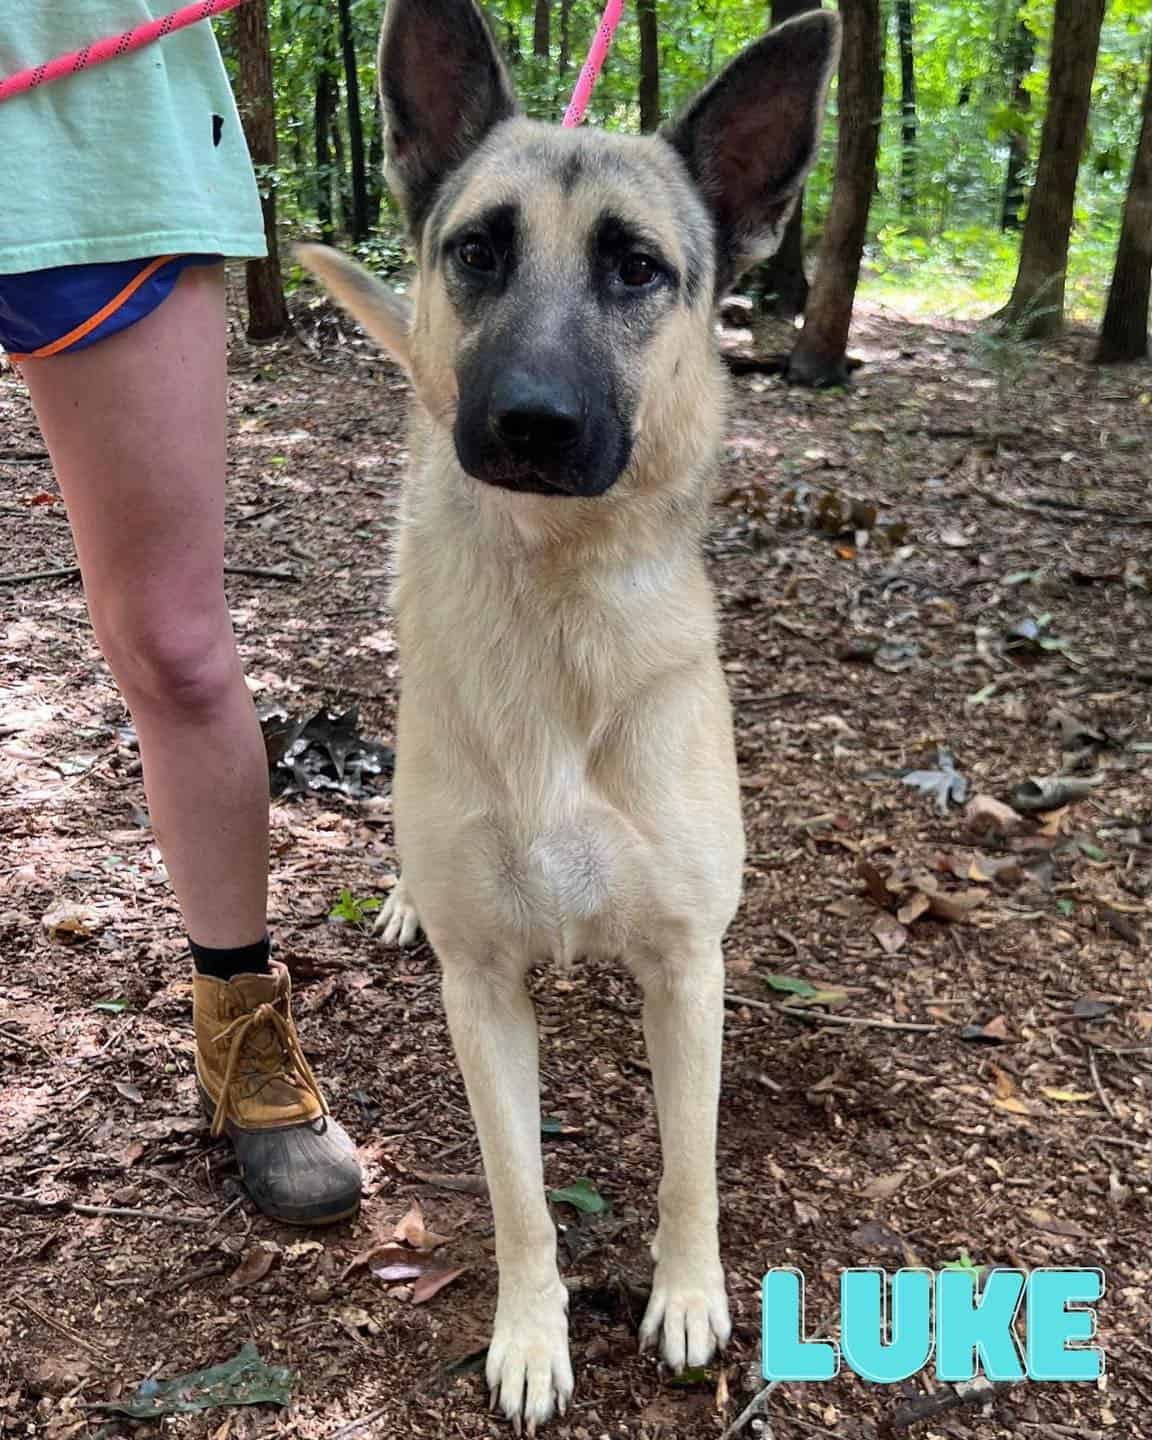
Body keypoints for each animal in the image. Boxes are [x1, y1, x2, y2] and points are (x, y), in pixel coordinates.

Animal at [296, 0, 835, 1416]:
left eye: (638, 268)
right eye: (479, 250)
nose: (529, 423)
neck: (557, 607)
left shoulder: (689, 969)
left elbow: (690, 1166)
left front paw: (689, 1298)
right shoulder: (483, 992)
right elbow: (520, 1194)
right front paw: (534, 1335)